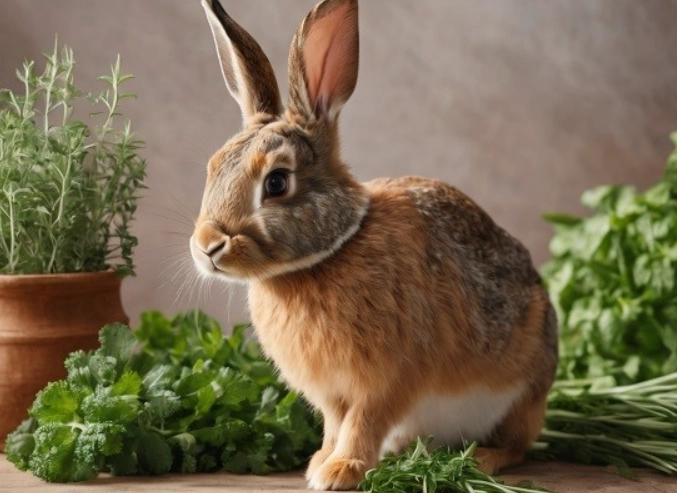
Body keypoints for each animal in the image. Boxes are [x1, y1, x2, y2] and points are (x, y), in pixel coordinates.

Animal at [191, 0, 559, 490]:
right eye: (213, 167)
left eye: (276, 182)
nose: (207, 245)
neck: (330, 252)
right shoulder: (331, 392)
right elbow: (336, 423)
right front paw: (320, 463)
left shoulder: (389, 380)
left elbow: (365, 421)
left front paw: (340, 471)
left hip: (522, 396)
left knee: (519, 445)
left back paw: (481, 459)